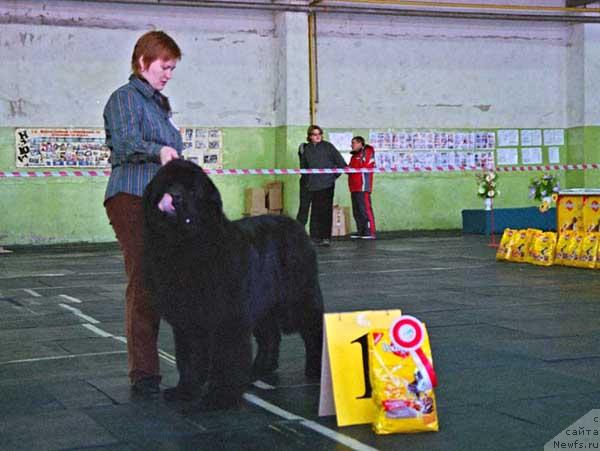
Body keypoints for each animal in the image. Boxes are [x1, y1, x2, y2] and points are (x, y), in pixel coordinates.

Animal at [142, 161, 324, 412]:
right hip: (262, 304)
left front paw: (219, 398)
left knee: (313, 327)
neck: (187, 246)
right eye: (167, 184)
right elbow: (189, 356)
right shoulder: (188, 319)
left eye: (192, 190)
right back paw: (260, 369)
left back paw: (316, 369)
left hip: (297, 298)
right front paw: (185, 390)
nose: (175, 197)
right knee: (270, 335)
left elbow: (226, 358)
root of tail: (296, 226)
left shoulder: (227, 318)